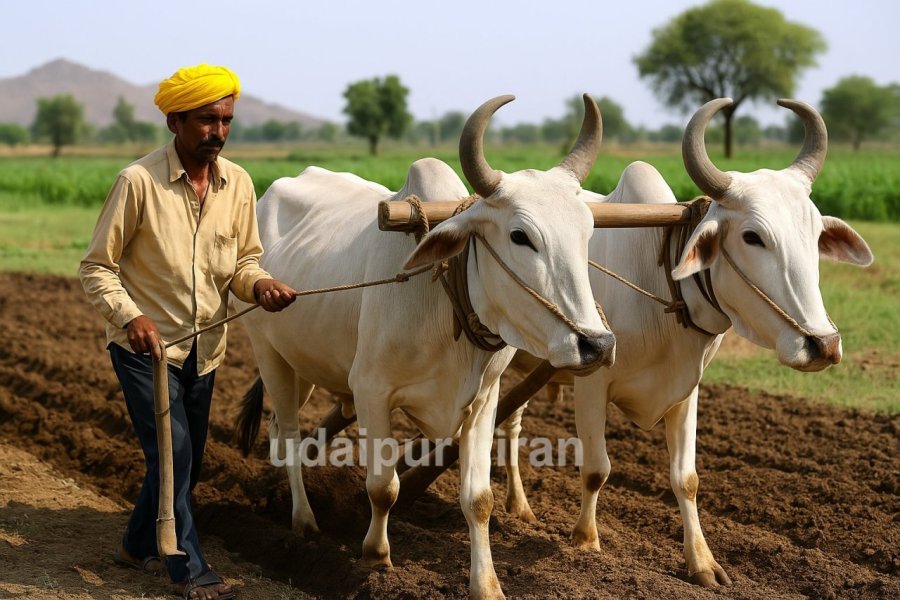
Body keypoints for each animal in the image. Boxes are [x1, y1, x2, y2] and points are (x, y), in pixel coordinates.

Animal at [235, 94, 616, 599]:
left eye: (589, 231)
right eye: (521, 235)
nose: (597, 343)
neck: (447, 299)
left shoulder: (484, 400)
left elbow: (478, 499)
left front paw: (486, 583)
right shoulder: (371, 391)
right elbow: (383, 487)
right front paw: (376, 556)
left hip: (303, 362)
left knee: (284, 428)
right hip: (269, 353)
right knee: (291, 433)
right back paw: (303, 521)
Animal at [497, 98, 873, 587]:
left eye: (813, 236)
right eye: (753, 236)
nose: (823, 344)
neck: (659, 285)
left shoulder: (686, 390)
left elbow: (686, 478)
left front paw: (703, 563)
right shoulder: (591, 383)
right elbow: (597, 469)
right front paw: (585, 545)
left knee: (510, 424)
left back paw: (519, 507)